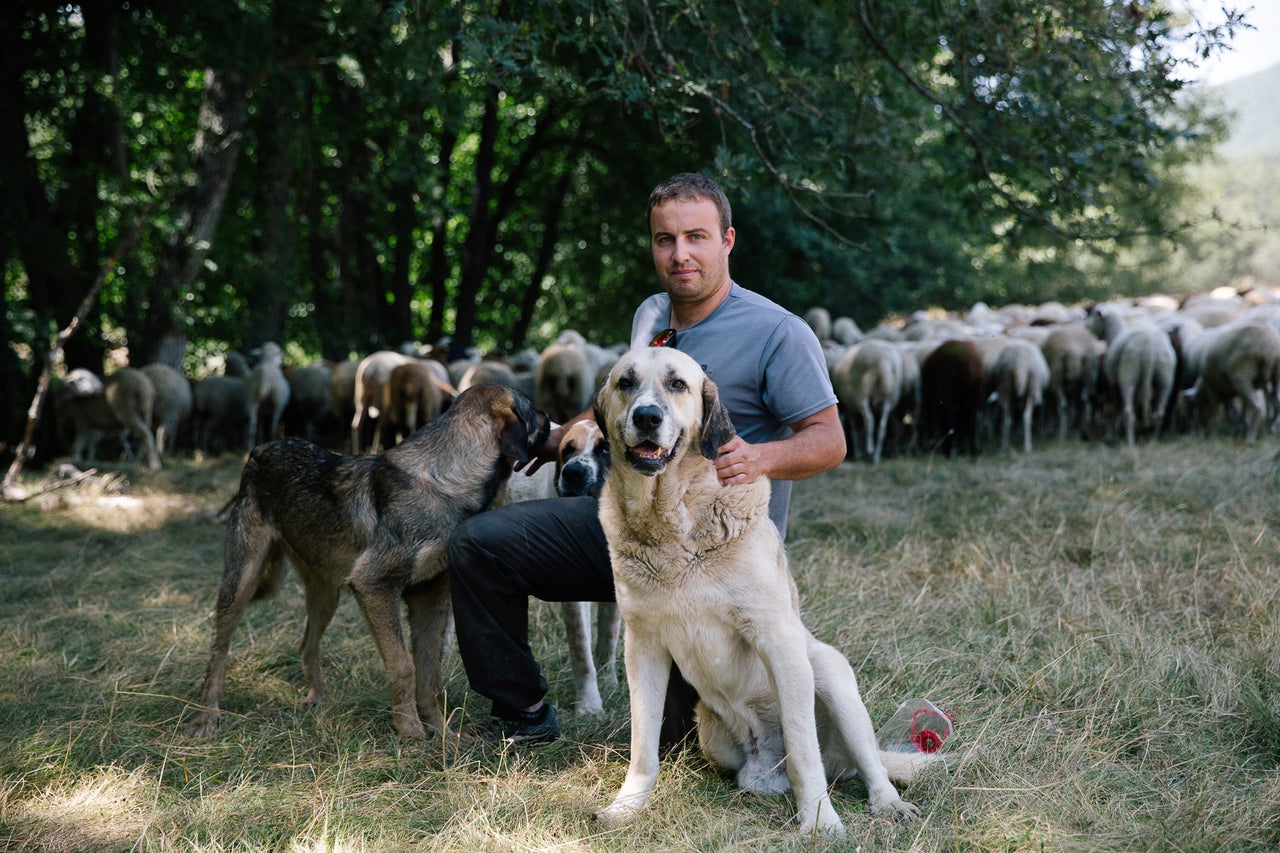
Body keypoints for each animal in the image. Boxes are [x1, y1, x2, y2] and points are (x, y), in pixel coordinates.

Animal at [588, 345, 931, 829]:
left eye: (678, 384)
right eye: (626, 383)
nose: (648, 416)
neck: (672, 521)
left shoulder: (777, 638)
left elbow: (804, 750)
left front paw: (820, 822)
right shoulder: (643, 648)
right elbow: (643, 746)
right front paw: (627, 805)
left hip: (828, 671)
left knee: (865, 764)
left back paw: (887, 802)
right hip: (713, 734)